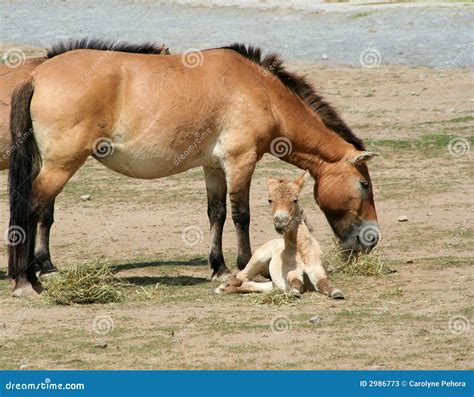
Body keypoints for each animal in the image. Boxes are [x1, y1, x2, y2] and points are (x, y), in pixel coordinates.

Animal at [216, 170, 344, 296]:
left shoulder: (316, 268)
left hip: (271, 282)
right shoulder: (291, 272)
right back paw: (223, 286)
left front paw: (336, 292)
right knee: (241, 276)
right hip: (258, 258)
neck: (302, 250)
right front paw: (295, 293)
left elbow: (323, 282)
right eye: (270, 200)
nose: (281, 222)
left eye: (295, 199)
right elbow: (296, 281)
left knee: (251, 284)